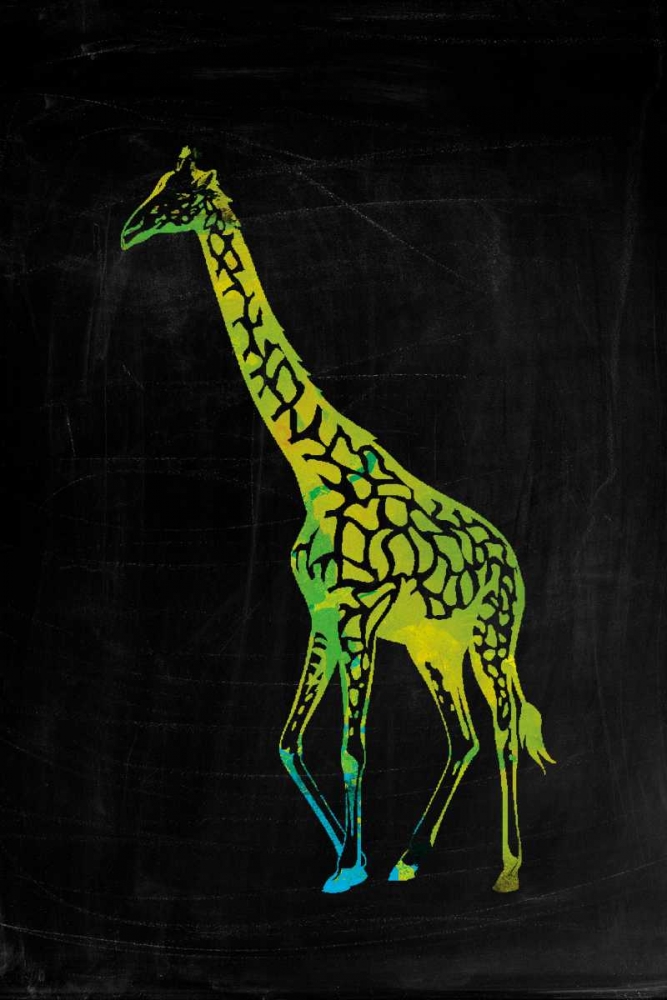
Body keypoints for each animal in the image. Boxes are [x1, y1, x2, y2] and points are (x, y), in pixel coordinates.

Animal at [121, 147, 555, 896]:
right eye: (155, 185)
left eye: (177, 196)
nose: (126, 231)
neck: (315, 472)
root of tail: (513, 561)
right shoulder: (323, 616)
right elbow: (289, 742)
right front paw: (346, 854)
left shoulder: (358, 614)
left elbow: (352, 745)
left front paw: (350, 864)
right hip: (433, 644)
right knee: (464, 737)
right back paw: (410, 858)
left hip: (492, 639)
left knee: (502, 731)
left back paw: (506, 868)